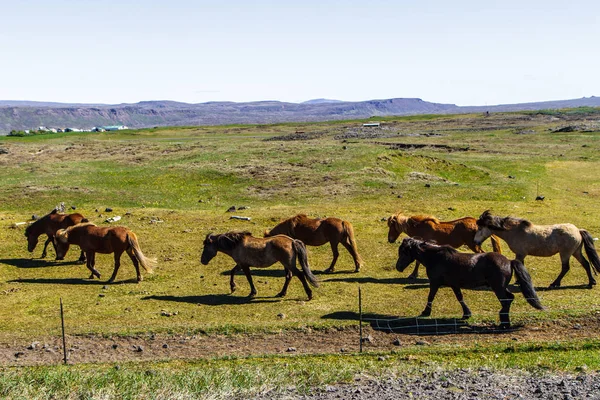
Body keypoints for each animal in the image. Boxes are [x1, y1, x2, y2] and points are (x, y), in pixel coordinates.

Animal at [396, 238, 548, 328]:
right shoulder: (454, 285)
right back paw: (506, 322)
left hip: (497, 288)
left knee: (506, 301)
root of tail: (509, 261)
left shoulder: (435, 282)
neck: (436, 258)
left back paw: (503, 322)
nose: (398, 267)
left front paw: (425, 312)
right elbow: (460, 298)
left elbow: (430, 297)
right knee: (510, 298)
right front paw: (466, 314)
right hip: (501, 287)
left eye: (403, 252)